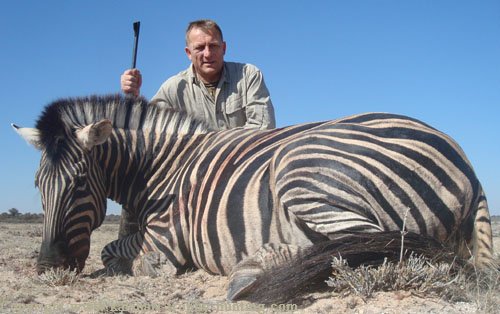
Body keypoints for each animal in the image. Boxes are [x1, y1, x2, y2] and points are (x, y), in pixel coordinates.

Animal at [13, 94, 494, 302]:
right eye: (37, 185)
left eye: (78, 184)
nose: (48, 266)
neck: (158, 165)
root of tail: (466, 162)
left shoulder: (164, 239)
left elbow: (118, 255)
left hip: (299, 166)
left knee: (376, 245)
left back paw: (255, 271)